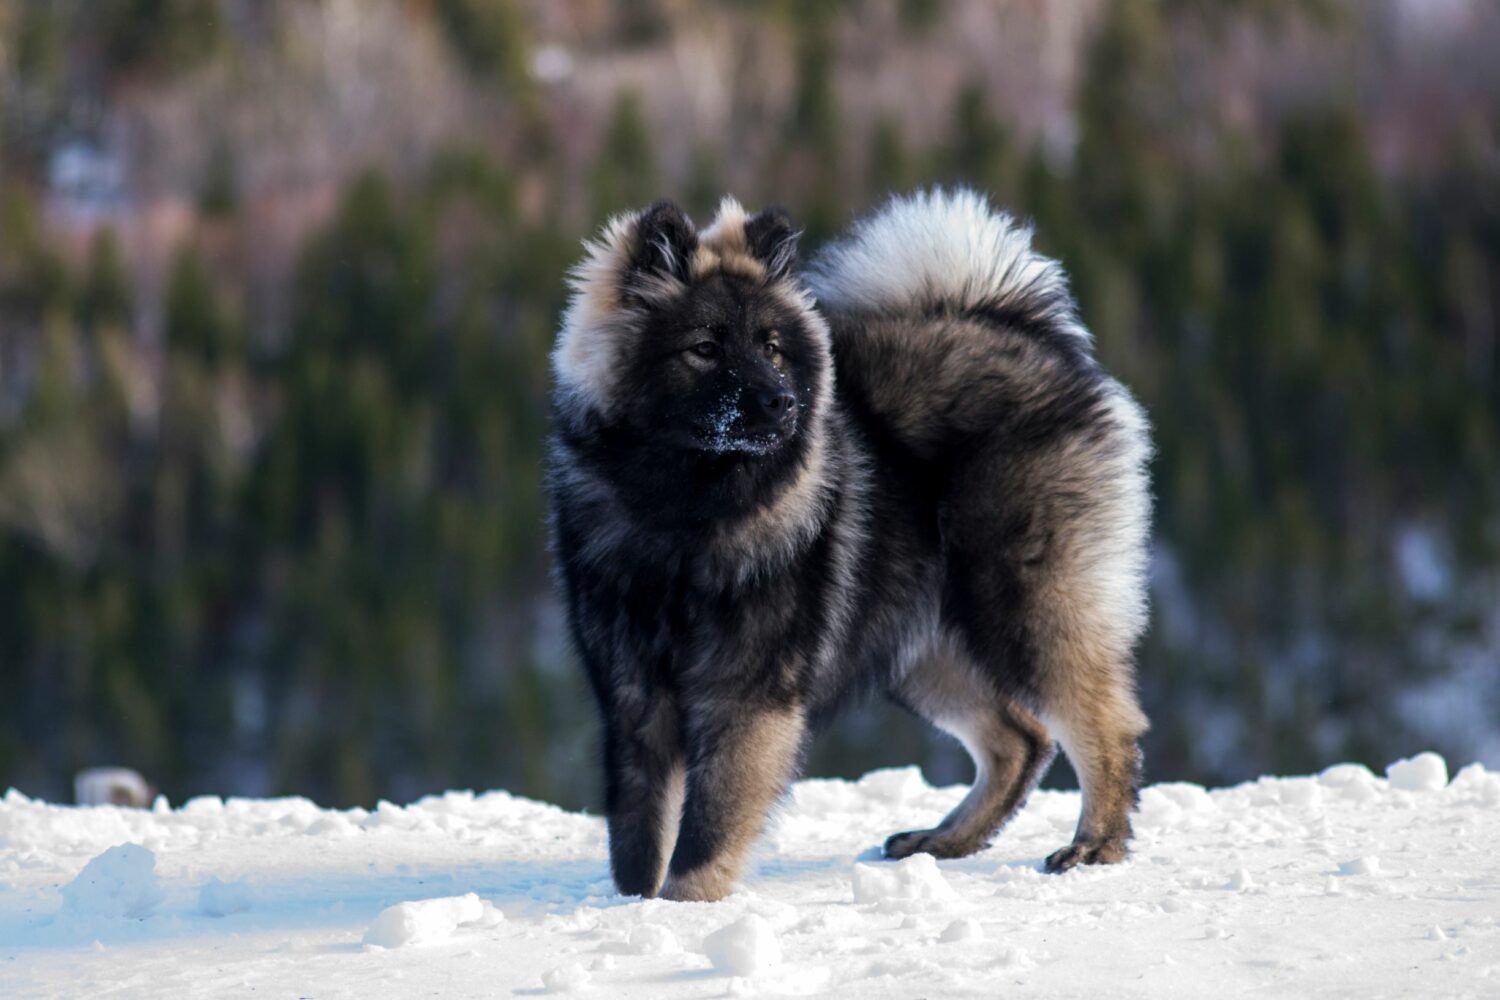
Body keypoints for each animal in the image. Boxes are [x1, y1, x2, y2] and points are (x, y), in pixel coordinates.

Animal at [549, 191, 1146, 905]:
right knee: (1020, 740)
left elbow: (710, 824)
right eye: (704, 347)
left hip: (1023, 604)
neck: (689, 518)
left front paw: (683, 904)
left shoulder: (746, 693)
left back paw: (1095, 845)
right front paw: (634, 905)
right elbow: (638, 830)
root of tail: (1012, 325)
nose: (781, 402)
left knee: (1105, 725)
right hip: (921, 644)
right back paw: (944, 840)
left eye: (772, 348)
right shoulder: (634, 695)